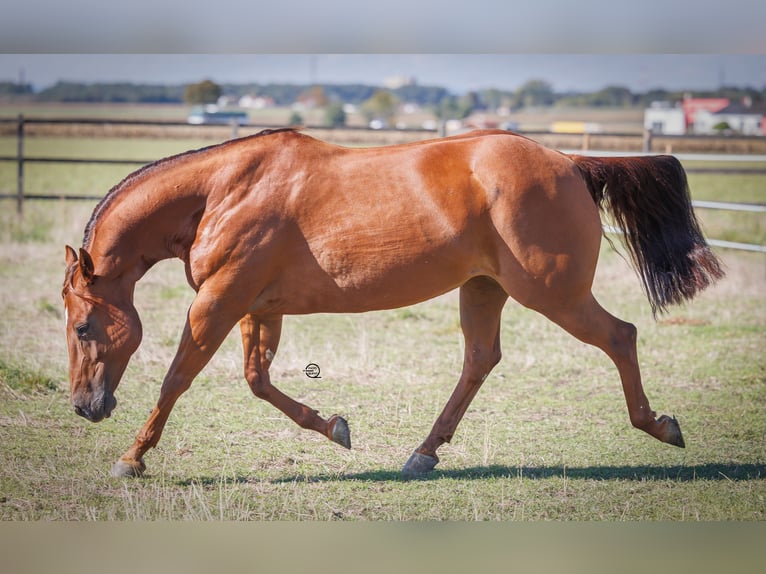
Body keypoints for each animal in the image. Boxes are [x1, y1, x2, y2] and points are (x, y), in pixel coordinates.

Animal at [61, 128, 728, 480]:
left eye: (85, 326)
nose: (86, 408)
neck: (223, 192)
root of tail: (570, 162)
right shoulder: (257, 307)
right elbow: (258, 380)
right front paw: (334, 427)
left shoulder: (219, 304)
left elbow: (177, 377)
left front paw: (130, 459)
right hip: (484, 289)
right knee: (480, 359)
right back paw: (422, 454)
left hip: (553, 293)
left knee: (620, 336)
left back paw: (661, 426)